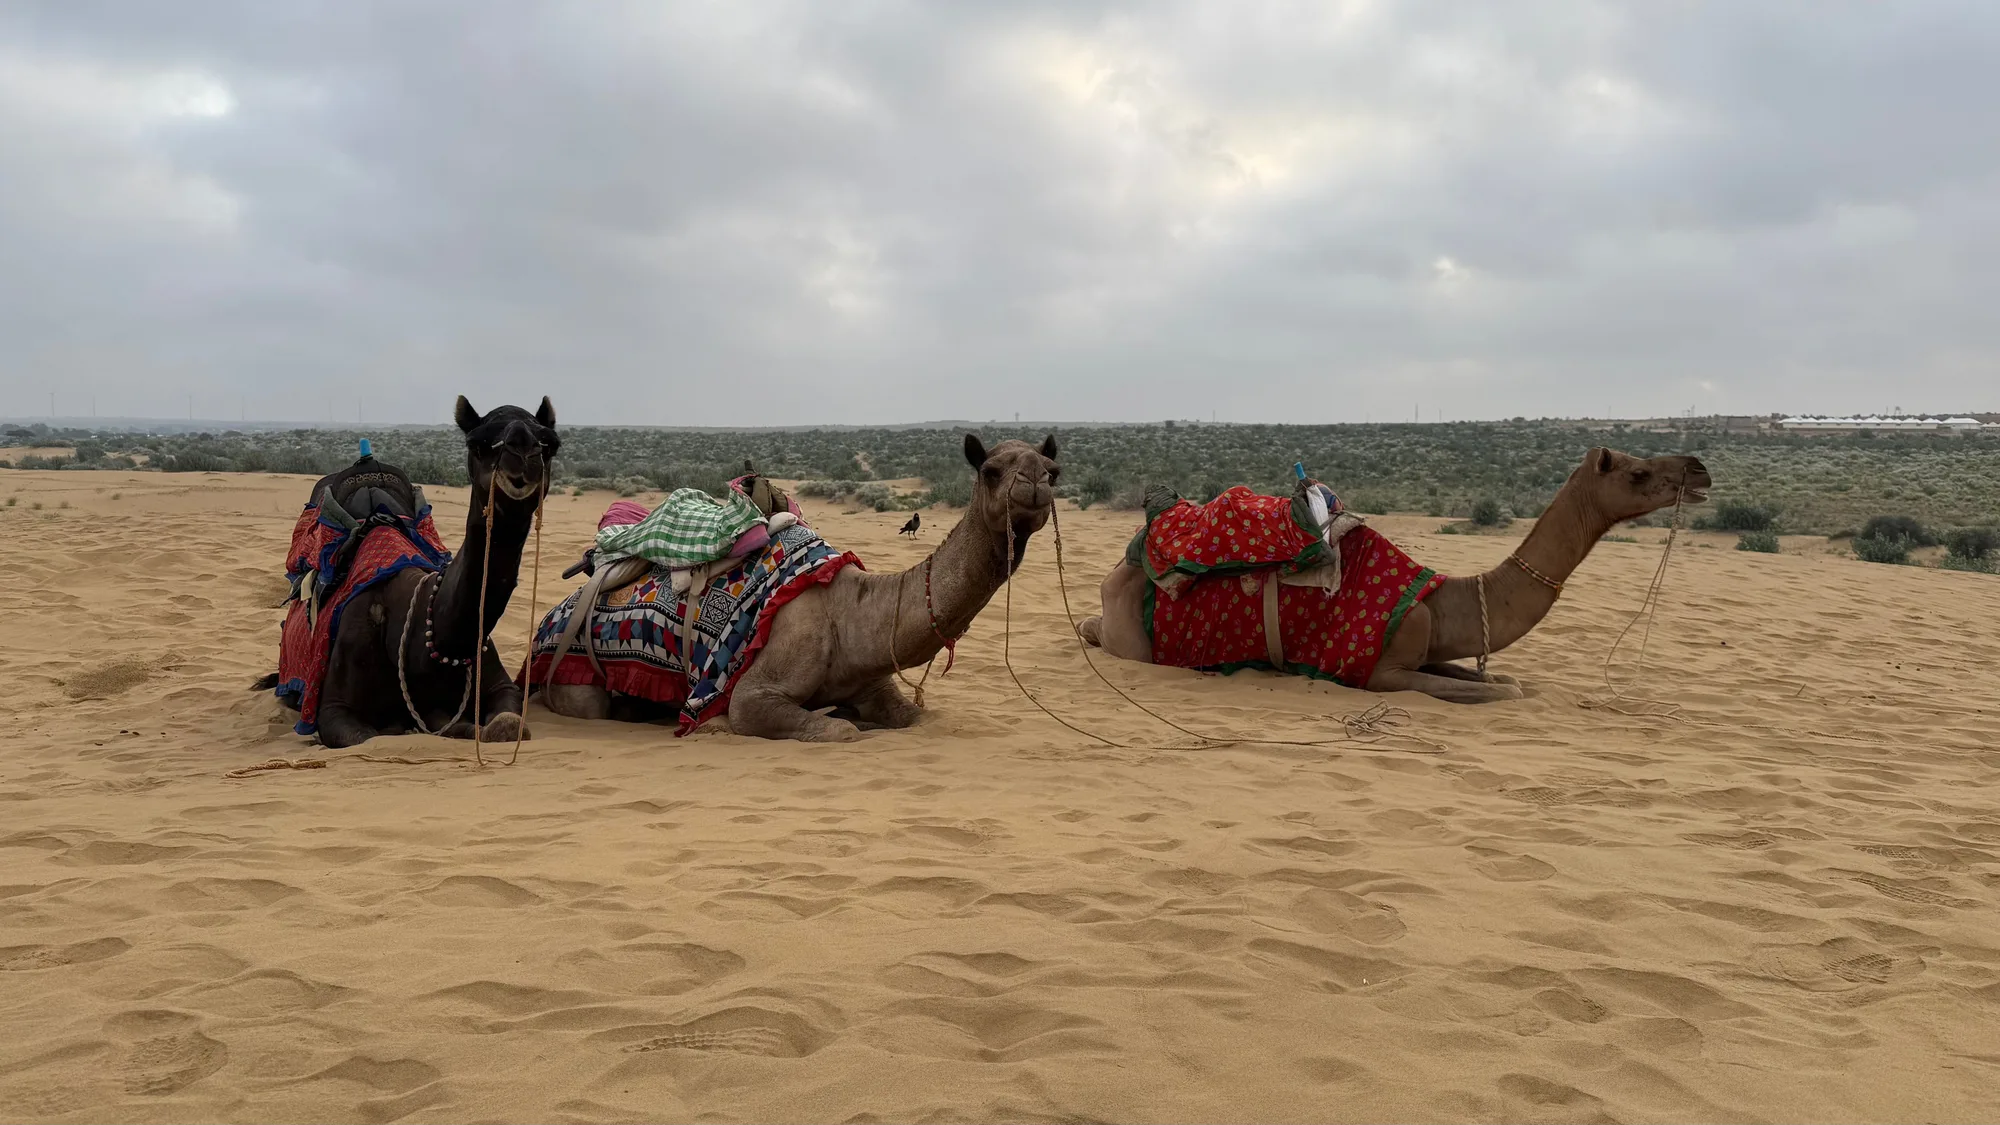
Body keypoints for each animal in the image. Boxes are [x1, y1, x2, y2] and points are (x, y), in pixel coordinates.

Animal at [271, 396, 561, 747]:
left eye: (550, 444)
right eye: (477, 444)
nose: (522, 452)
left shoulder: (500, 686)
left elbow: (506, 723)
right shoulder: (334, 709)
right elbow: (367, 736)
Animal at [542, 434, 1059, 741]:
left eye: (1053, 469)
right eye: (991, 471)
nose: (1034, 481)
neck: (850, 612)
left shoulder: (873, 682)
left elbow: (918, 717)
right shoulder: (757, 691)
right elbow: (836, 731)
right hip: (576, 683)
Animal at [1078, 447, 1711, 703]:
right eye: (1636, 472)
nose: (1699, 469)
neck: (1447, 598)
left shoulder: (1428, 649)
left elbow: (1499, 678)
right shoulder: (1382, 673)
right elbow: (1504, 690)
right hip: (1134, 642)